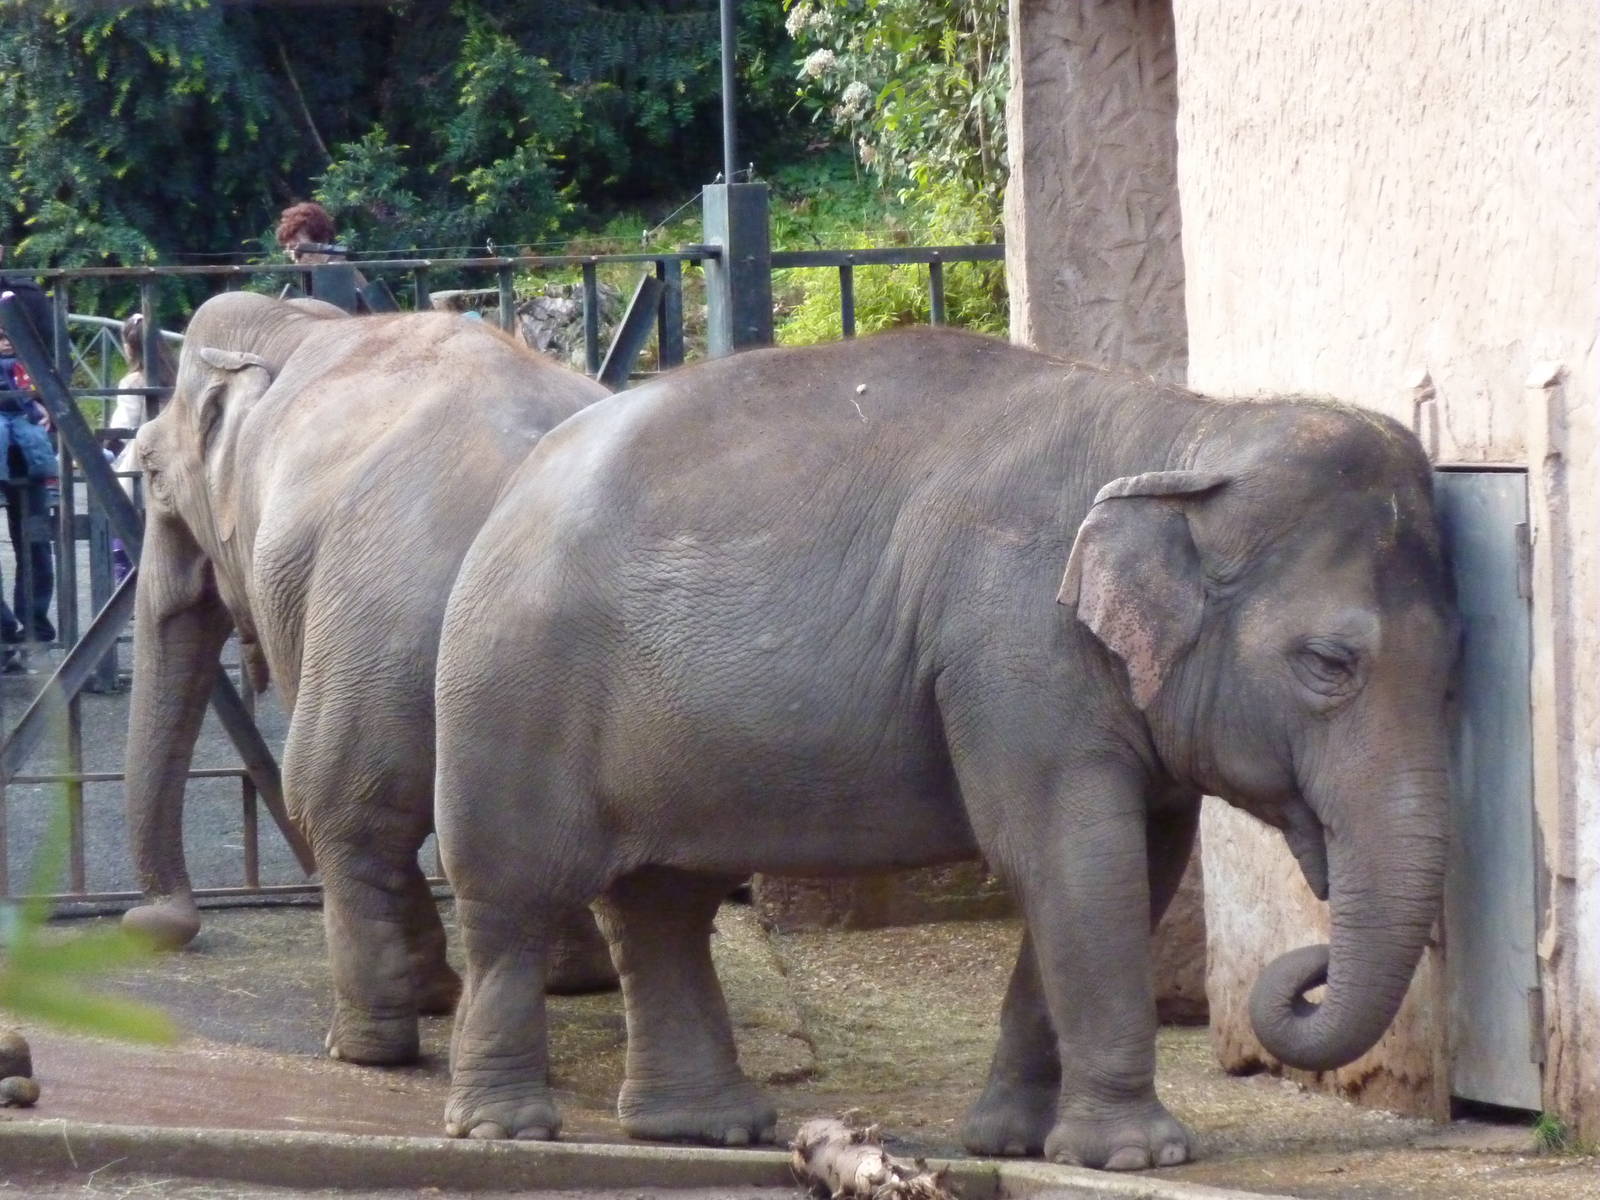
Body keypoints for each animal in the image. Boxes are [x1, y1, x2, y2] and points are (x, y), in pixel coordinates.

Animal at [121, 291, 618, 1065]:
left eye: (148, 471)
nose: (151, 925)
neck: (293, 326)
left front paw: (434, 997)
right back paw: (577, 981)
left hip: (386, 612)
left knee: (341, 798)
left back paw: (366, 1045)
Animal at [430, 328, 1458, 1168]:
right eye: (1328, 664)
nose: (1308, 963)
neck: (1186, 434)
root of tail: (512, 494)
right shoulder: (1012, 649)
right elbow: (1071, 855)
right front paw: (1141, 1155)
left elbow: (1136, 865)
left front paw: (1013, 1142)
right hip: (508, 694)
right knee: (513, 901)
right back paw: (507, 1129)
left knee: (663, 904)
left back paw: (704, 1128)